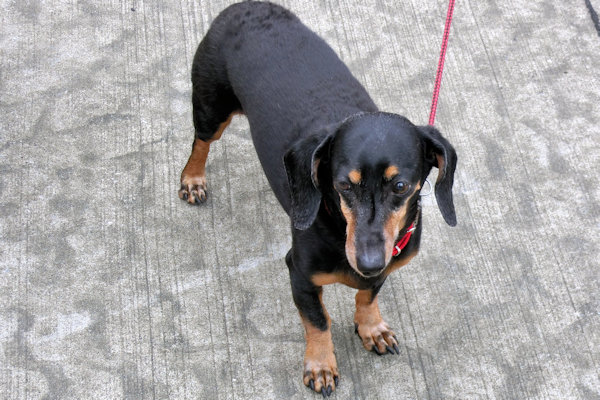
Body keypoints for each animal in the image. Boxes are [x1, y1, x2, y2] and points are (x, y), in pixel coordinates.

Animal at [178, 1, 457, 396]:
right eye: (343, 185)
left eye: (401, 186)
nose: (369, 263)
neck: (337, 225)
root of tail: (247, 7)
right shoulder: (299, 274)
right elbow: (318, 321)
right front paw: (321, 365)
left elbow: (368, 296)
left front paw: (372, 328)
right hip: (211, 104)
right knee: (201, 141)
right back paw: (193, 178)